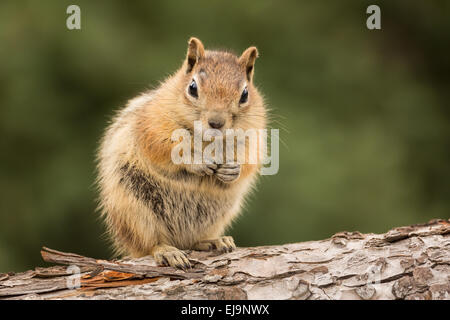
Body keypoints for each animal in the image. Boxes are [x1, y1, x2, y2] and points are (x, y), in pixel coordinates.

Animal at [97, 37, 268, 268]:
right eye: (192, 87)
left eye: (245, 94)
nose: (216, 122)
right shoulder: (153, 124)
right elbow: (164, 147)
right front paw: (197, 162)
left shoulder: (255, 135)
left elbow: (251, 159)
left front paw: (233, 169)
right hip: (134, 210)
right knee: (149, 244)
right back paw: (167, 251)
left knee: (194, 241)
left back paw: (213, 241)